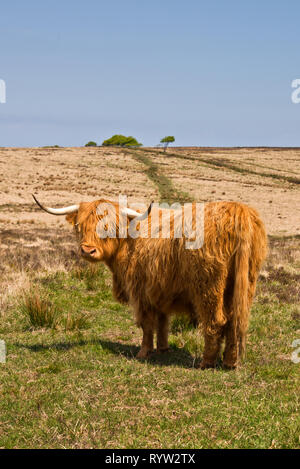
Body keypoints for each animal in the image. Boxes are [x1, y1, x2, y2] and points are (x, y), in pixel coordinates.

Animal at [32, 195, 268, 370]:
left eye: (109, 227)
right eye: (80, 226)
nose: (87, 250)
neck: (128, 241)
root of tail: (237, 210)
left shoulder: (140, 291)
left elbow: (146, 324)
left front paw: (143, 353)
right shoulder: (160, 291)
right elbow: (163, 322)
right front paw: (163, 349)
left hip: (209, 285)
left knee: (216, 320)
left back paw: (206, 362)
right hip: (243, 284)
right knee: (236, 321)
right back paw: (230, 362)